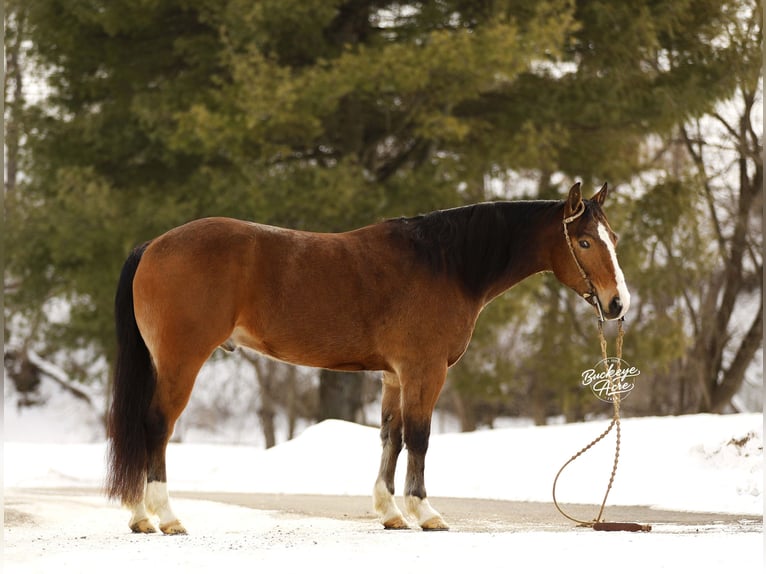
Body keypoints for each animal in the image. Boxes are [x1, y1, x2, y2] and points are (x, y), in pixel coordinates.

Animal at [106, 181, 629, 534]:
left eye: (614, 239)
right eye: (584, 242)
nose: (617, 304)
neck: (445, 264)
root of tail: (152, 245)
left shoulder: (393, 375)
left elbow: (390, 439)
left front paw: (391, 512)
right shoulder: (423, 371)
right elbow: (419, 438)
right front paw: (425, 512)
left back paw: (141, 517)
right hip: (181, 362)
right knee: (156, 425)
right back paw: (165, 516)